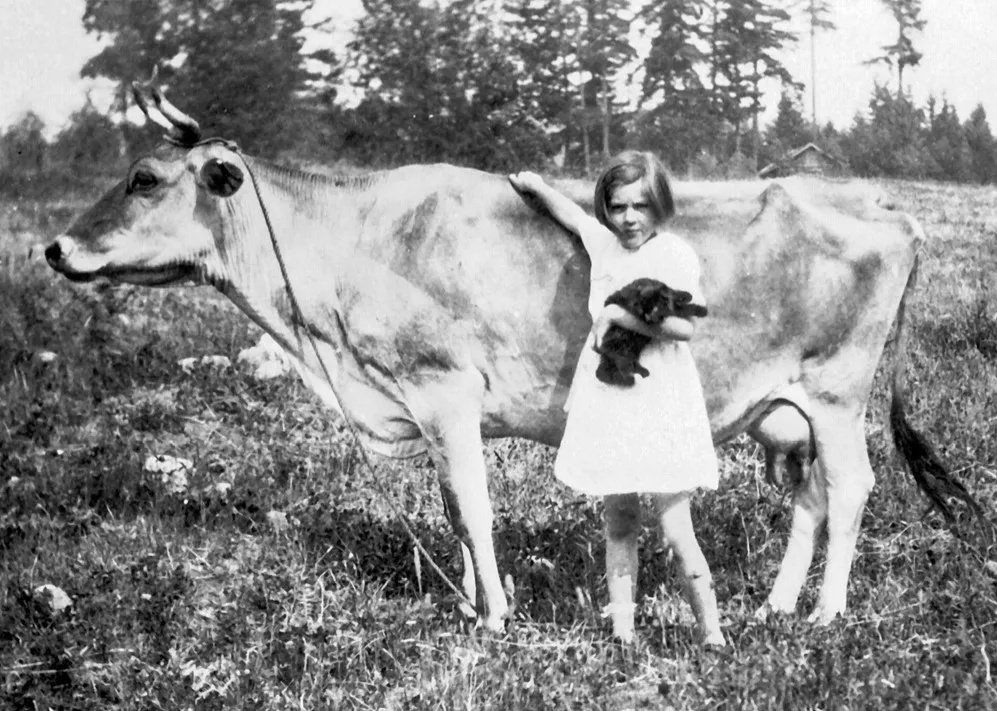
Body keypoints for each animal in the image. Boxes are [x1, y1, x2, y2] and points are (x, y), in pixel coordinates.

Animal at [42, 85, 976, 644]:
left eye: (144, 176)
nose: (53, 247)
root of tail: (878, 202)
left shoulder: (442, 390)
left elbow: (470, 511)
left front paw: (492, 617)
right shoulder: (438, 412)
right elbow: (456, 509)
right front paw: (472, 601)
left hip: (836, 392)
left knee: (851, 488)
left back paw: (825, 611)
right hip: (785, 410)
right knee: (810, 497)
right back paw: (778, 603)